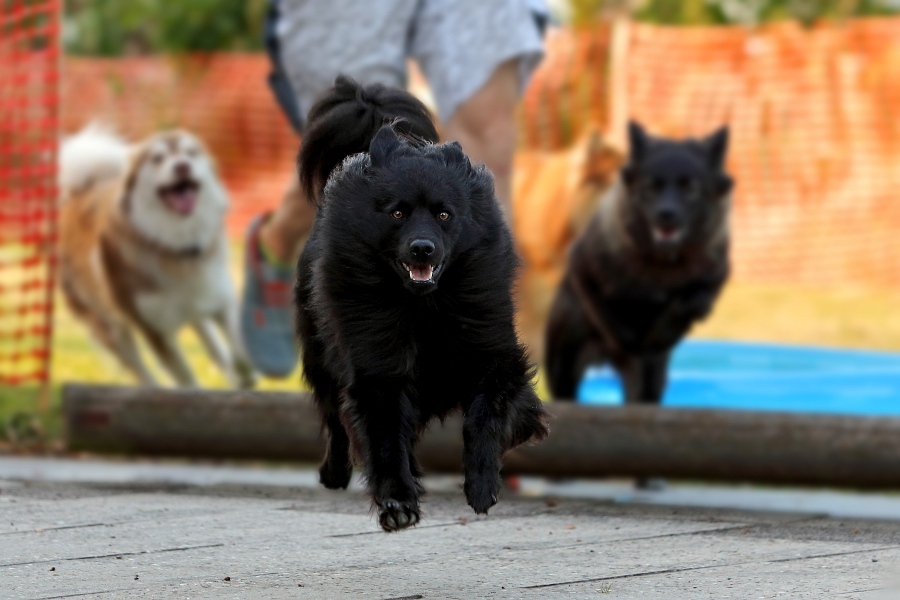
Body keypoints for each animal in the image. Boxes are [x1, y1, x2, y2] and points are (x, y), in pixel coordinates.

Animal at [59, 125, 256, 390]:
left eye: (191, 153)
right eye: (157, 158)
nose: (182, 166)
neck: (174, 246)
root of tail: (79, 190)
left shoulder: (218, 298)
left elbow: (240, 349)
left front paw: (243, 373)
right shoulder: (153, 328)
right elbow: (184, 376)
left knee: (208, 337)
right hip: (111, 327)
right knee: (138, 367)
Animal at [296, 76, 548, 536]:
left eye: (444, 214)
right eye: (397, 213)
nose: (422, 248)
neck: (424, 307)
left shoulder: (494, 355)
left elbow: (485, 416)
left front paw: (482, 485)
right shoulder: (377, 367)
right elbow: (384, 437)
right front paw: (397, 502)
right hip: (321, 355)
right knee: (335, 417)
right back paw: (336, 472)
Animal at [540, 120, 732, 404]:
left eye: (691, 188)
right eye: (651, 186)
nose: (666, 214)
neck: (663, 259)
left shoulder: (715, 276)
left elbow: (692, 299)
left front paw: (667, 328)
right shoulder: (583, 268)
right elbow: (610, 316)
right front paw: (633, 340)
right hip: (563, 363)